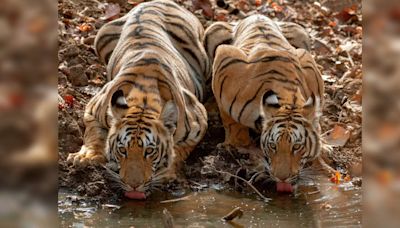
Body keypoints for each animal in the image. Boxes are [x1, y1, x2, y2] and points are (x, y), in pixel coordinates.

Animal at [67, 0, 211, 200]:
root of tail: (157, 2)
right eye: (122, 150)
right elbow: (94, 134)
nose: (133, 186)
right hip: (101, 36)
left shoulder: (199, 123)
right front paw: (86, 157)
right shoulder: (93, 109)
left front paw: (167, 170)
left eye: (149, 151)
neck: (144, 100)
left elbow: (180, 149)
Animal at [205, 14, 326, 192]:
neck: (289, 97)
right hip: (213, 31)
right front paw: (236, 144)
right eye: (273, 146)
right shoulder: (225, 60)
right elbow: (231, 121)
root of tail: (255, 15)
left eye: (297, 146)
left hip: (302, 34)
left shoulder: (308, 63)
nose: (283, 178)